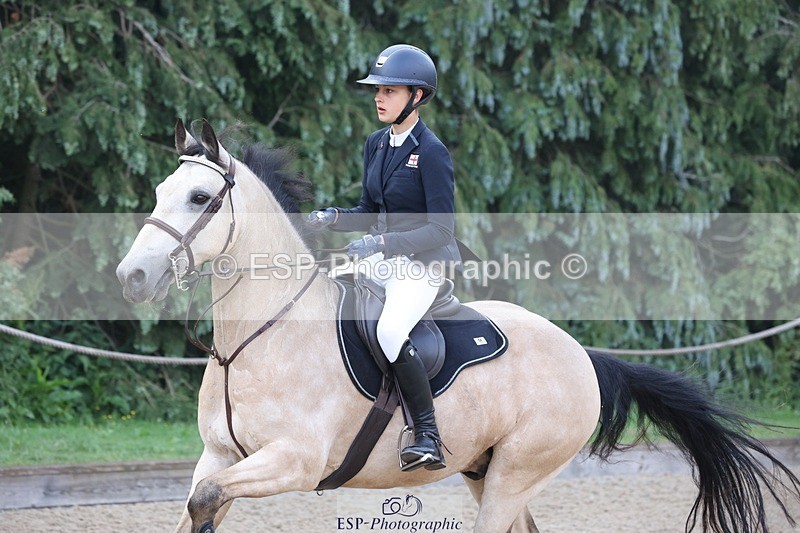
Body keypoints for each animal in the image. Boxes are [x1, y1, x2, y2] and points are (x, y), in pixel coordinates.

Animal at [116, 119, 800, 533]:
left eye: (200, 199)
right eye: (161, 190)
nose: (134, 277)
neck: (263, 335)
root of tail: (582, 353)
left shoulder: (294, 461)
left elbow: (207, 500)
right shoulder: (218, 456)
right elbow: (198, 504)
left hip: (516, 472)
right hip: (484, 470)